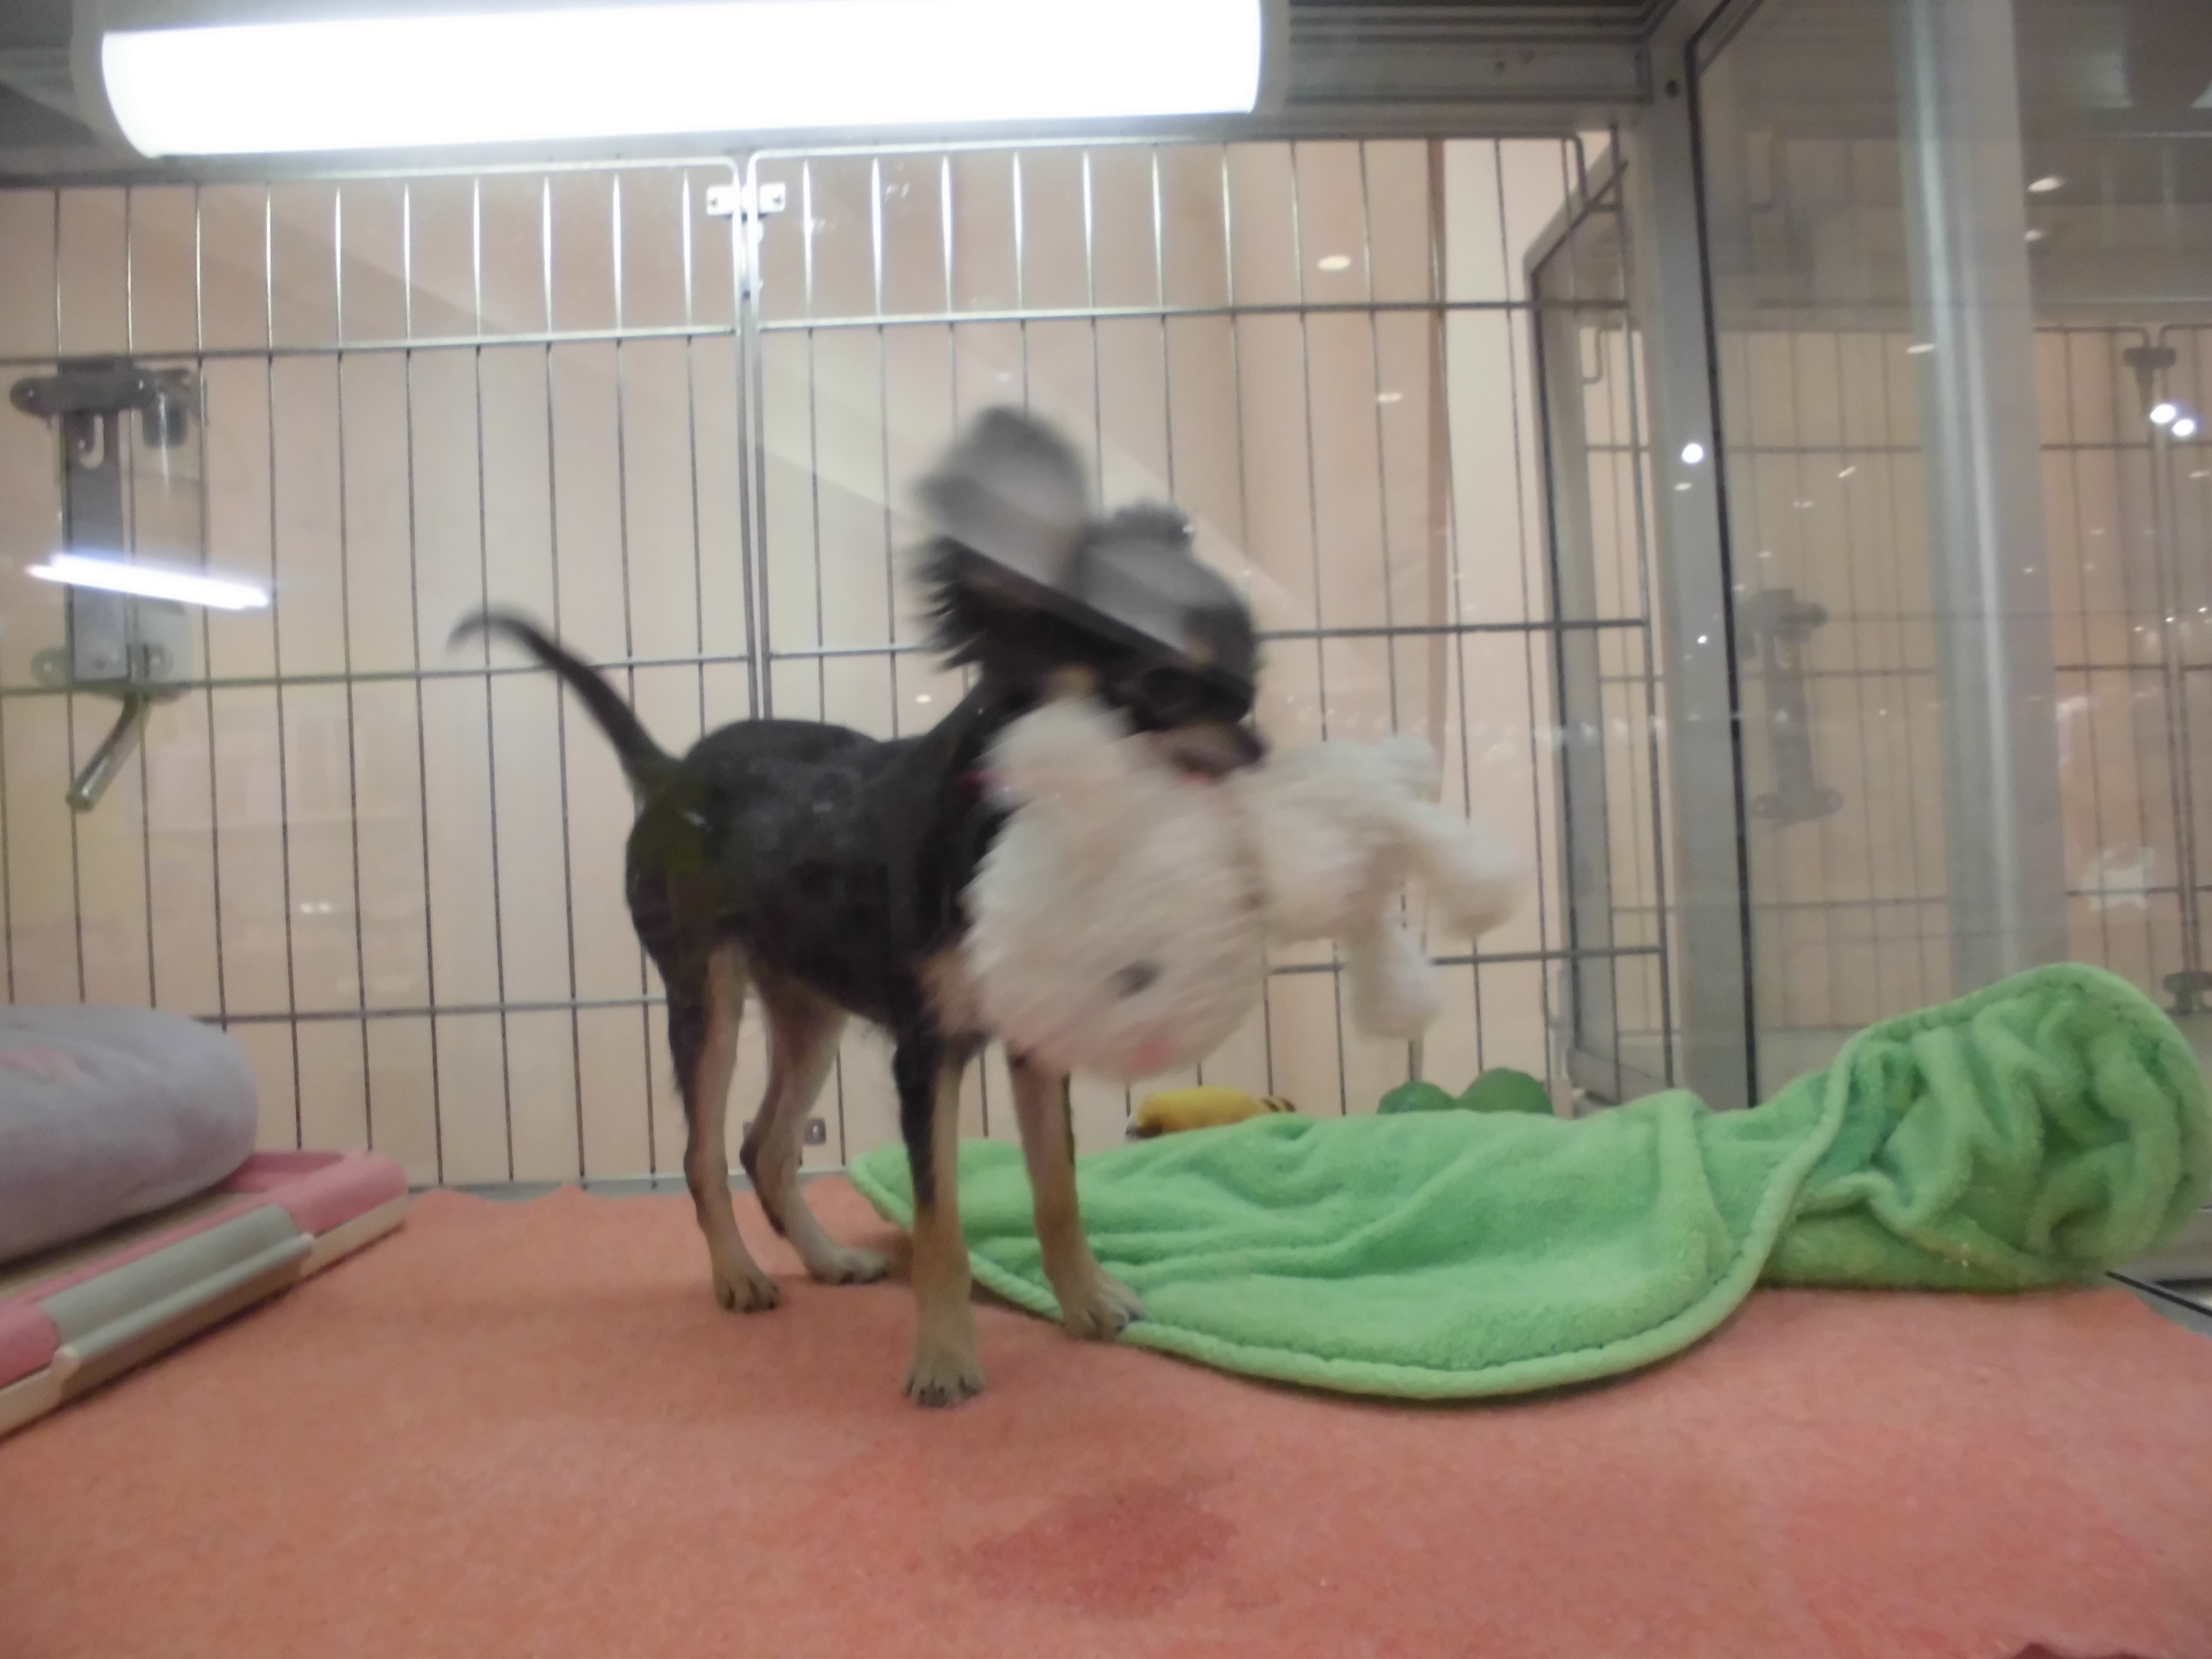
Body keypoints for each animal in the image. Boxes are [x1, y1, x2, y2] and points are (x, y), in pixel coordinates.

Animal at [454, 408, 1262, 1406]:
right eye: (1161, 683)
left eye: (1250, 682)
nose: (1261, 750)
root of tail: (670, 772)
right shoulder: (928, 1053)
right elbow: (940, 1219)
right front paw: (945, 1358)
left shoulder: (1034, 1045)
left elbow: (1057, 1185)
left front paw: (1084, 1299)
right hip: (706, 997)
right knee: (703, 1152)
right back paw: (738, 1275)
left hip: (809, 1008)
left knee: (764, 1145)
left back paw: (827, 1257)